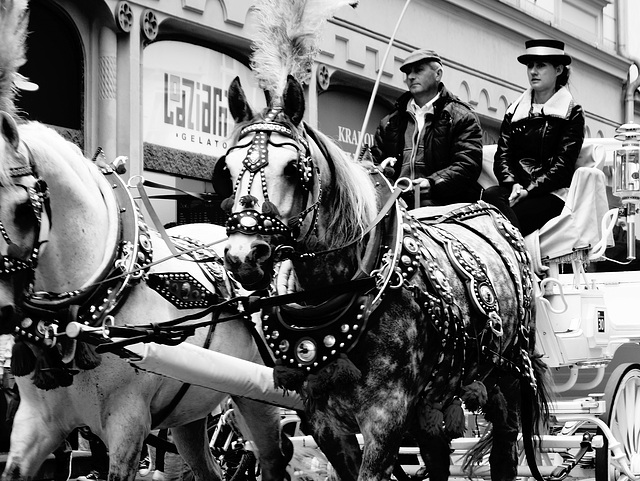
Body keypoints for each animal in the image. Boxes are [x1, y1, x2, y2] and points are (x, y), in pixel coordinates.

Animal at [215, 74, 552, 480]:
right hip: (436, 395)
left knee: (505, 447)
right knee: (437, 454)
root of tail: (495, 213)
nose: (243, 256)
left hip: (509, 373)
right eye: (227, 170)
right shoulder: (322, 420)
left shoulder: (386, 416)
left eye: (294, 169)